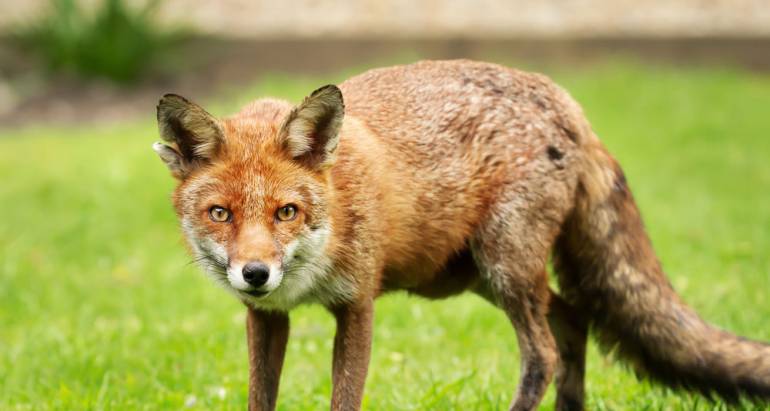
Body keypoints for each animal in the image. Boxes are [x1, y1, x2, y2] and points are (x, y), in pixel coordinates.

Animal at [152, 59, 770, 411]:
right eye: (220, 213)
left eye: (286, 212)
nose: (255, 273)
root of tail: (565, 101)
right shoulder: (266, 316)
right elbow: (261, 397)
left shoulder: (357, 304)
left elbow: (344, 398)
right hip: (479, 276)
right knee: (575, 319)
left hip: (504, 267)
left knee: (544, 353)